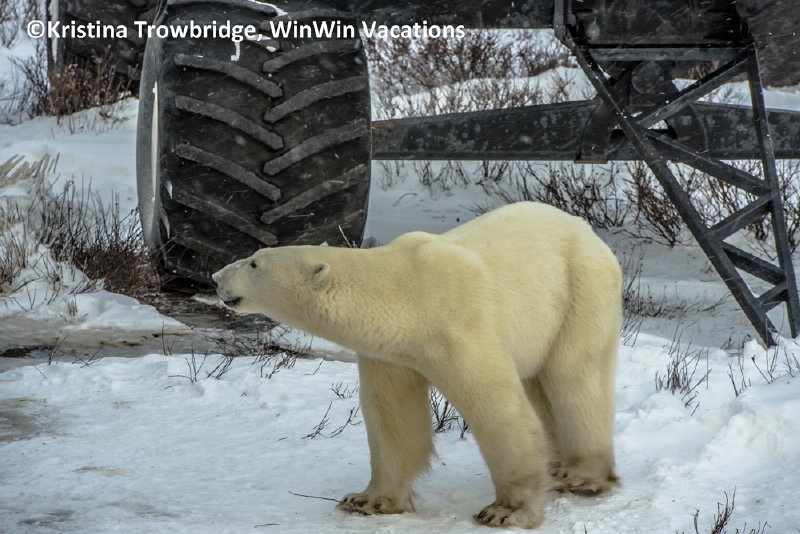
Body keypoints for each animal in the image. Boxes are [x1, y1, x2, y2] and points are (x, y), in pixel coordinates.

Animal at [212, 201, 621, 529]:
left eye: (254, 262)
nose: (215, 277)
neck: (407, 292)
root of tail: (586, 229)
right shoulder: (390, 351)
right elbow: (392, 414)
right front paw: (367, 500)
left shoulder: (458, 324)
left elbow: (496, 405)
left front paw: (506, 510)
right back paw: (556, 466)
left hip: (580, 288)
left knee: (575, 376)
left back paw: (581, 474)